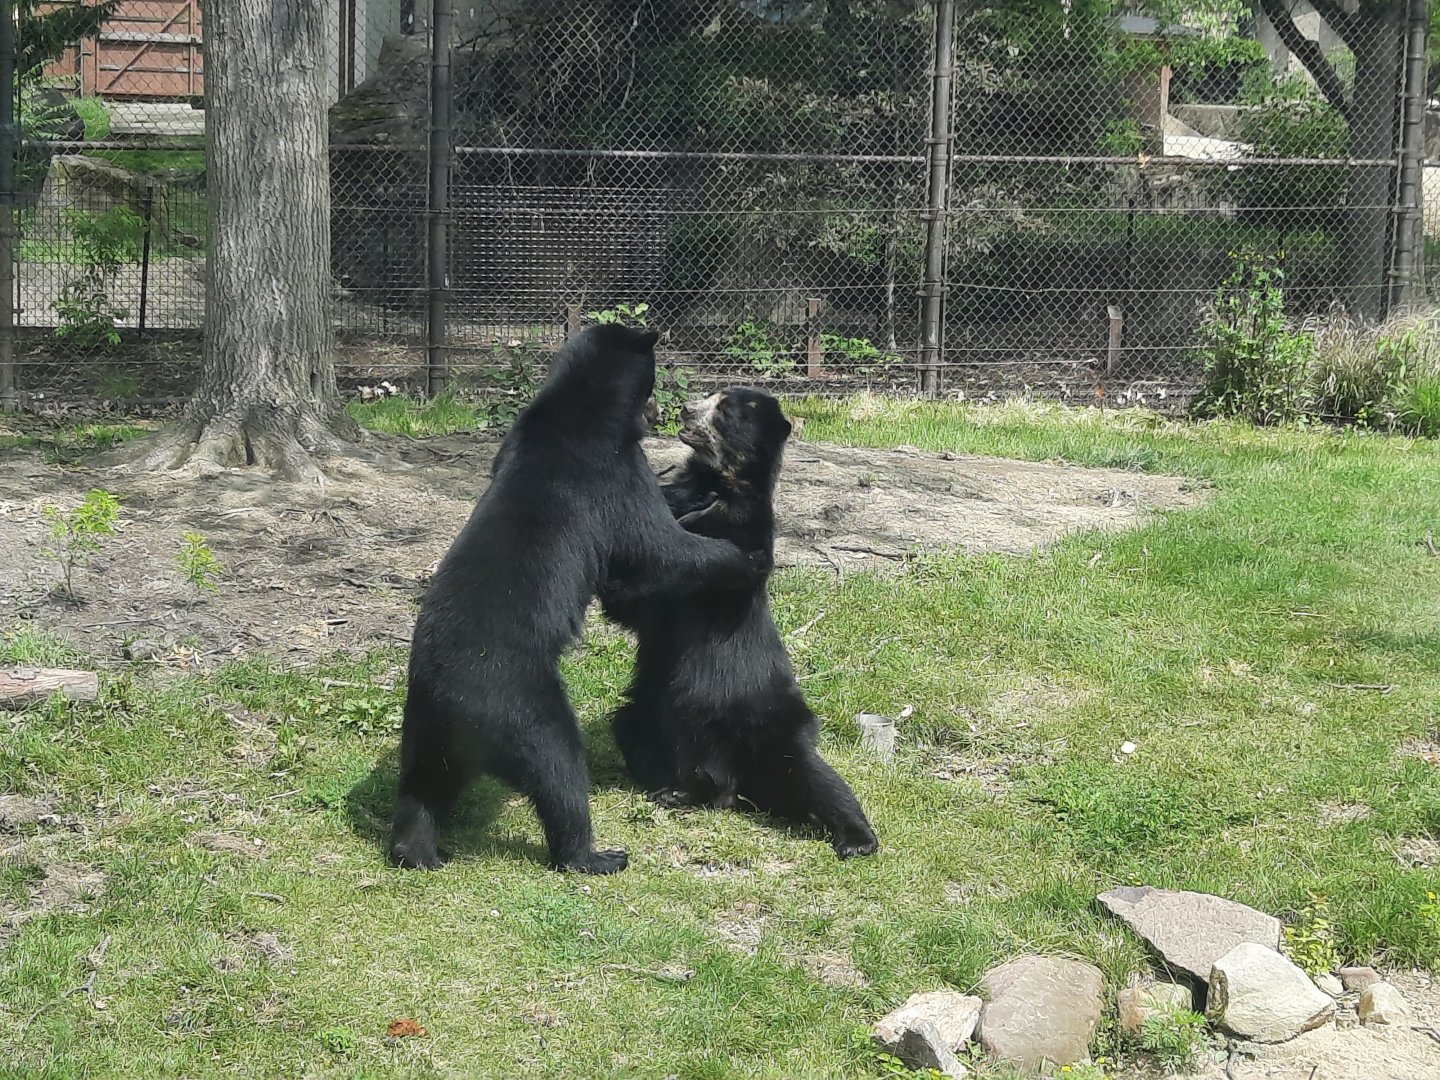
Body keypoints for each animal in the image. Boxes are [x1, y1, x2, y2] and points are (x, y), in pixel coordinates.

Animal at [389, 326, 769, 875]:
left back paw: (416, 850)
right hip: (521, 704)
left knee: (421, 785)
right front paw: (746, 556)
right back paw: (597, 854)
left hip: (423, 729)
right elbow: (655, 545)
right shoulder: (612, 470)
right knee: (559, 771)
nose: (663, 411)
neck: (576, 405)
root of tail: (447, 702)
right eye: (653, 379)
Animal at [604, 387, 879, 859]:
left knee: (819, 780)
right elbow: (630, 601)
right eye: (708, 398)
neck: (716, 480)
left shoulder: (743, 529)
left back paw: (856, 840)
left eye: (725, 411)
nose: (684, 410)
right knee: (634, 728)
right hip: (655, 716)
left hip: (771, 730)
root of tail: (735, 787)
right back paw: (674, 791)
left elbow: (714, 551)